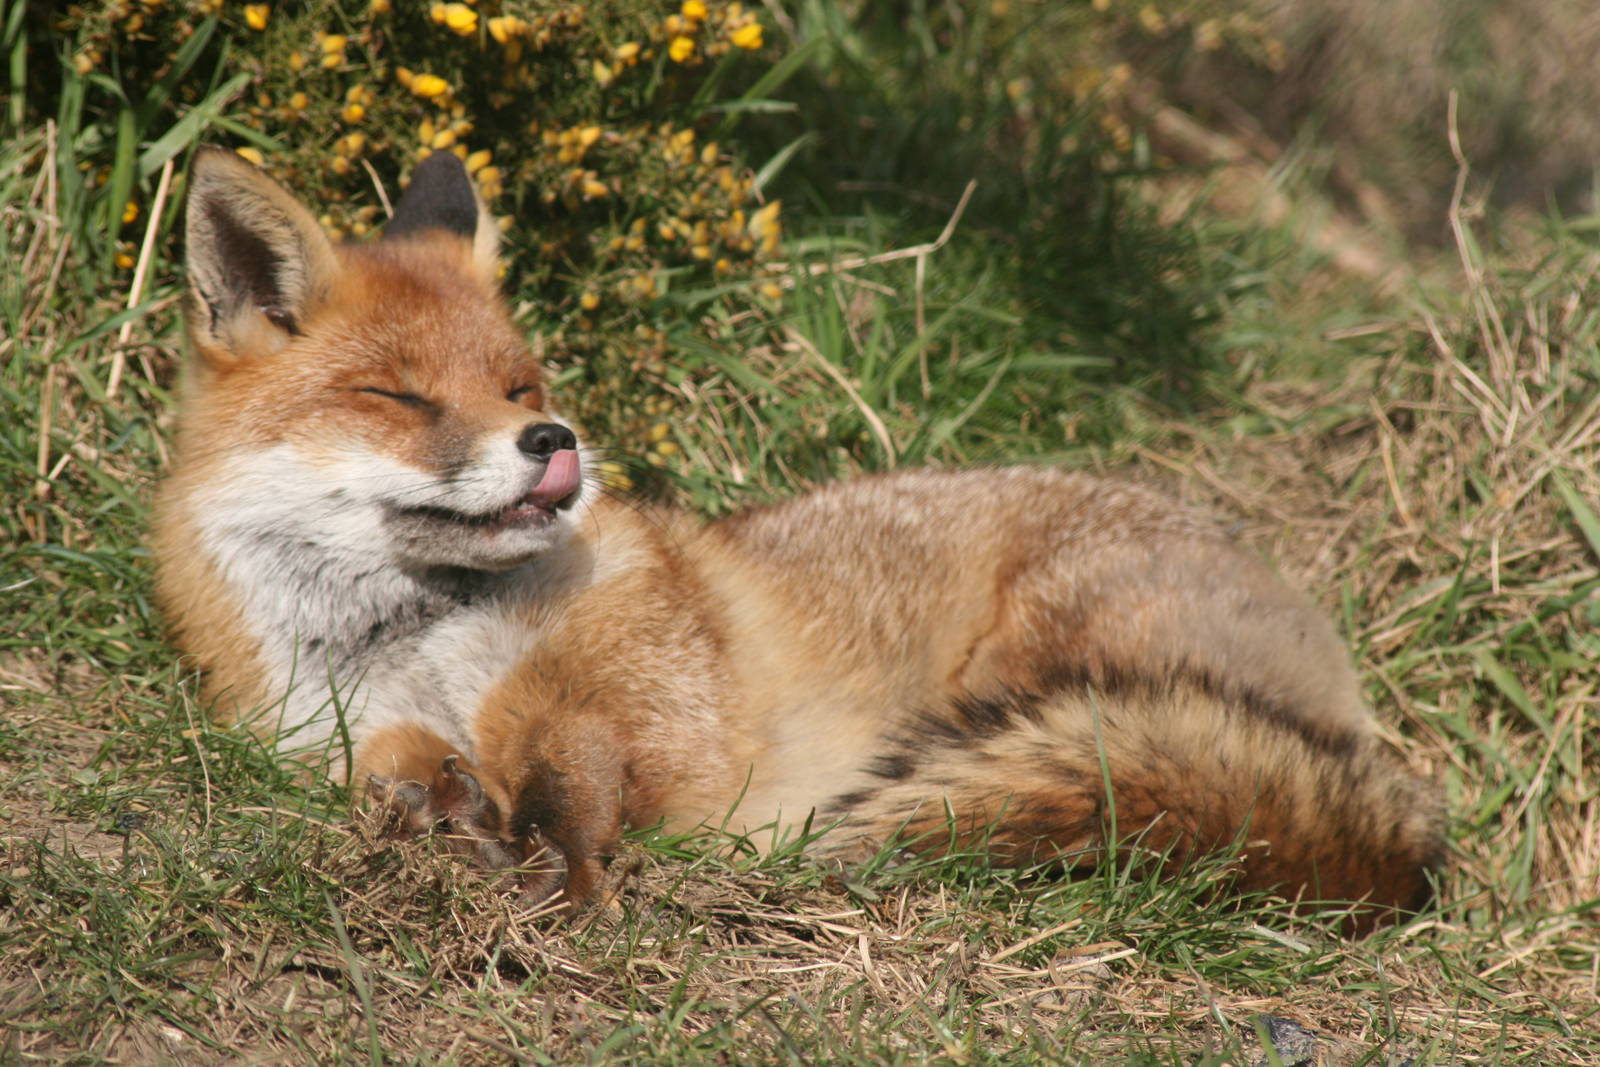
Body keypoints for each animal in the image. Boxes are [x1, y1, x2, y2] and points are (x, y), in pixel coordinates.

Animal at [153, 146, 1444, 929]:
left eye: (521, 385)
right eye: (401, 398)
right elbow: (404, 769)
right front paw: (450, 811)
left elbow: (574, 775)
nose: (554, 441)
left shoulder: (654, 706)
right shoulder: (336, 733)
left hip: (1027, 673)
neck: (412, 640)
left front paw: (561, 869)